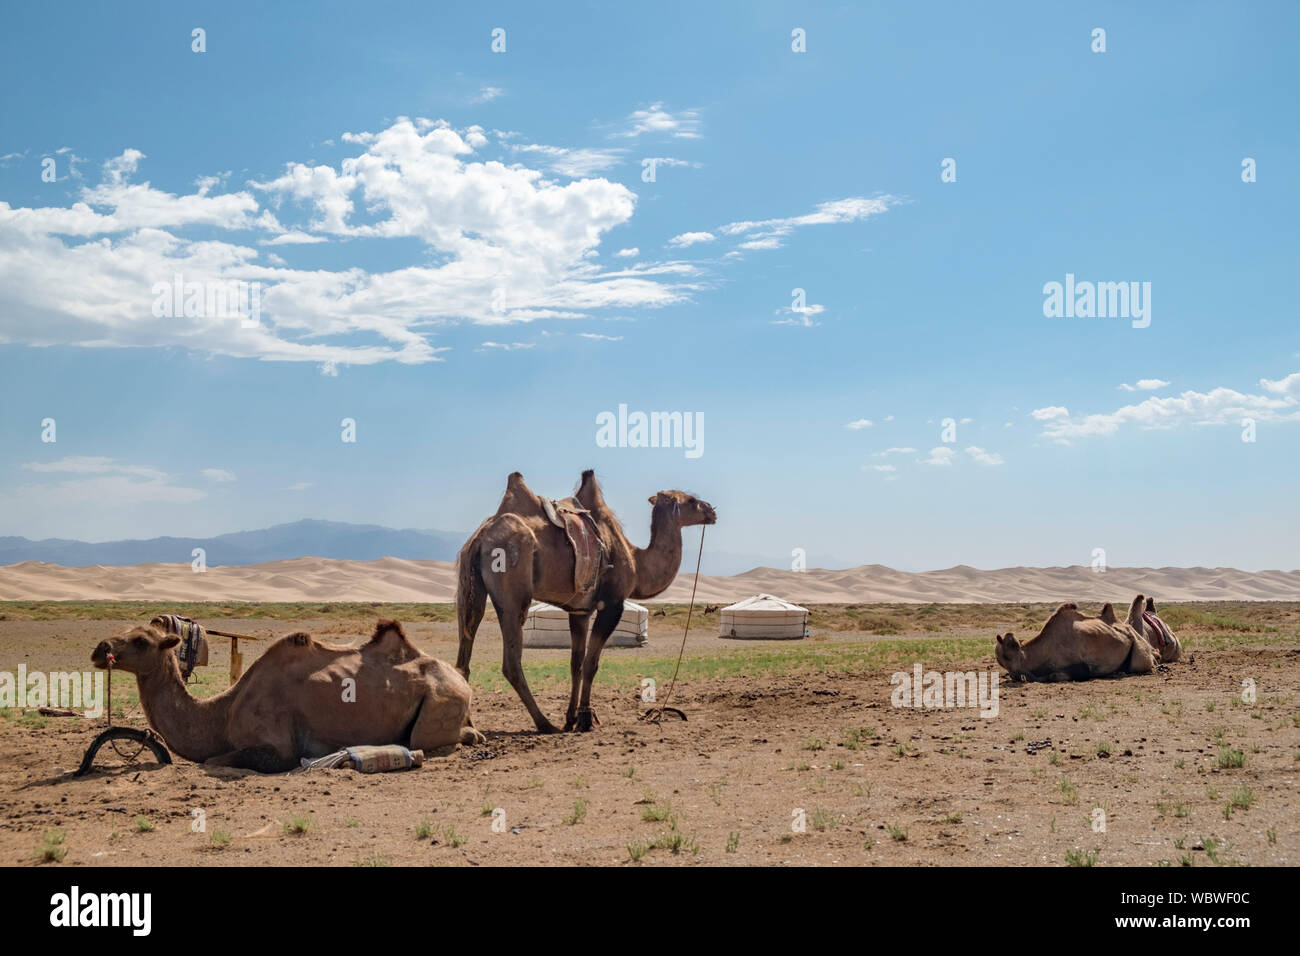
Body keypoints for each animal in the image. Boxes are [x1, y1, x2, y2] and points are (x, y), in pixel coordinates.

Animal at [91, 619, 484, 772]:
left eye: (142, 641)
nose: (100, 648)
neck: (222, 713)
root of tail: (460, 680)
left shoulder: (278, 749)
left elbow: (214, 760)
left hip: (439, 703)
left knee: (432, 737)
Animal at [456, 469, 716, 733]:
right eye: (691, 500)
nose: (712, 510)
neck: (635, 561)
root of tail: (480, 538)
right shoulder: (611, 605)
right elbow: (592, 663)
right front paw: (586, 718)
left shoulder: (579, 610)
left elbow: (576, 664)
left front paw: (571, 718)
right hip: (513, 593)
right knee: (511, 663)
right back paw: (544, 723)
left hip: (469, 590)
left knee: (464, 653)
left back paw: (468, 727)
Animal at [994, 596, 1156, 682]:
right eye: (1002, 661)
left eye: (1008, 656)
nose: (1017, 676)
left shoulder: (1082, 666)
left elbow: (1055, 675)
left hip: (1139, 650)